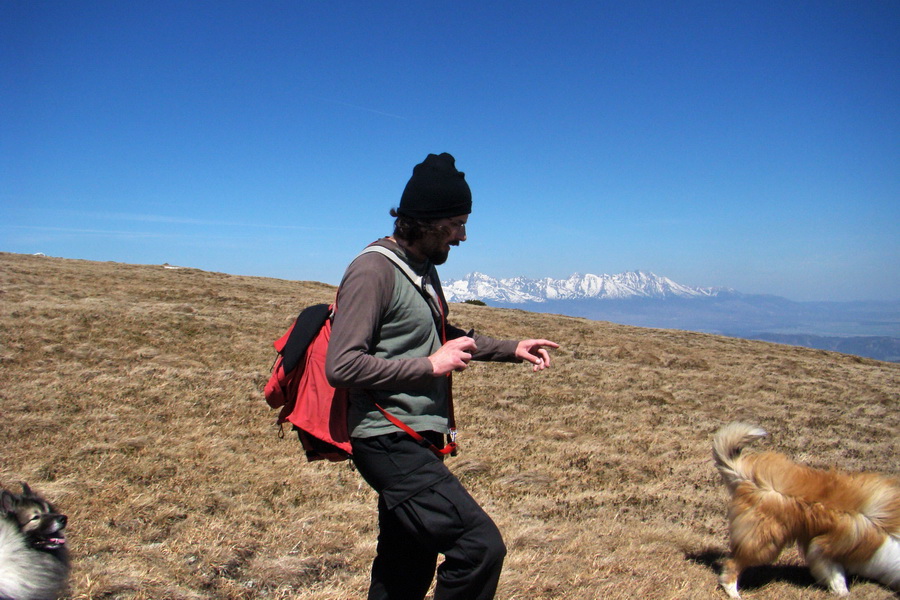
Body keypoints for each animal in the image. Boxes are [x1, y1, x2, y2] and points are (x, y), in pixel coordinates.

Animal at [712, 420, 896, 596]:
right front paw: (842, 592)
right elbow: (836, 573)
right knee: (733, 565)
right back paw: (733, 592)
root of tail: (750, 478)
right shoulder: (826, 546)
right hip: (764, 542)